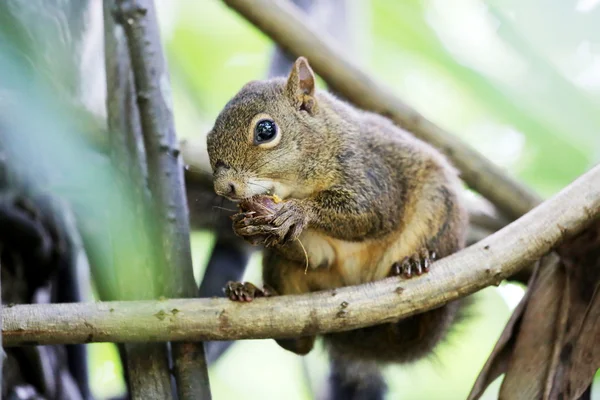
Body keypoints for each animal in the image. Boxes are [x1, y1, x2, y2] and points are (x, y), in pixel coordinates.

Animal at [205, 55, 468, 368]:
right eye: (208, 139)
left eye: (266, 130)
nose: (224, 188)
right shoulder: (317, 249)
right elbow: (316, 252)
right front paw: (244, 228)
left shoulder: (372, 175)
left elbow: (370, 214)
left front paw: (298, 212)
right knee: (302, 343)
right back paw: (254, 293)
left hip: (437, 207)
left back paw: (415, 260)